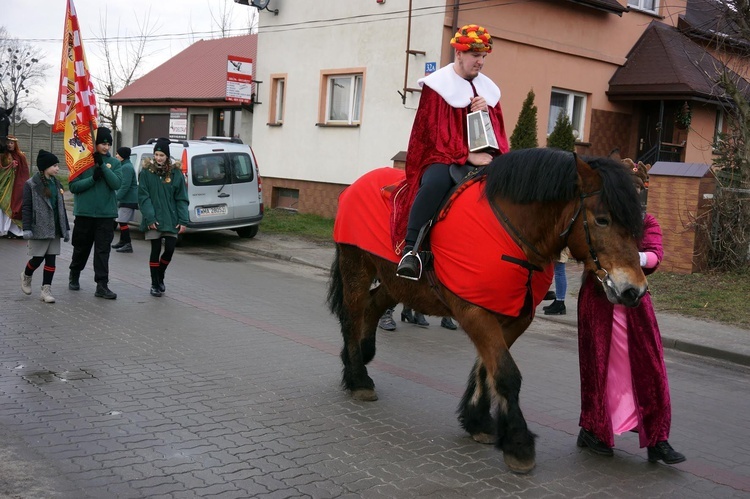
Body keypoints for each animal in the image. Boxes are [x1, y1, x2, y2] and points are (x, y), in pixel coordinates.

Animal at [328, 147, 652, 472]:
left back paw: (361, 357)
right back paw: (358, 378)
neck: (512, 234)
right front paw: (519, 443)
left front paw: (478, 421)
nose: (634, 290)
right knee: (352, 317)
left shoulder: (514, 318)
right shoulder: (475, 312)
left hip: (395, 282)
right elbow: (507, 373)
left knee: (373, 306)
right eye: (602, 220)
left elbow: (488, 369)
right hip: (356, 265)